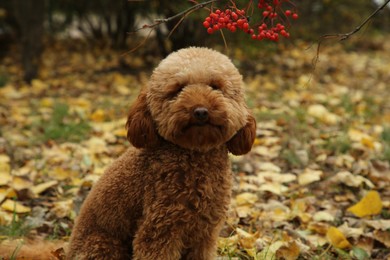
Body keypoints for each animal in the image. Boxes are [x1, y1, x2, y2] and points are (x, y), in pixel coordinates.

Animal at [67, 47, 256, 260]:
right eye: (177, 89)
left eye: (215, 86)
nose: (200, 111)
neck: (196, 154)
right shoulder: (160, 228)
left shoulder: (205, 232)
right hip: (103, 245)